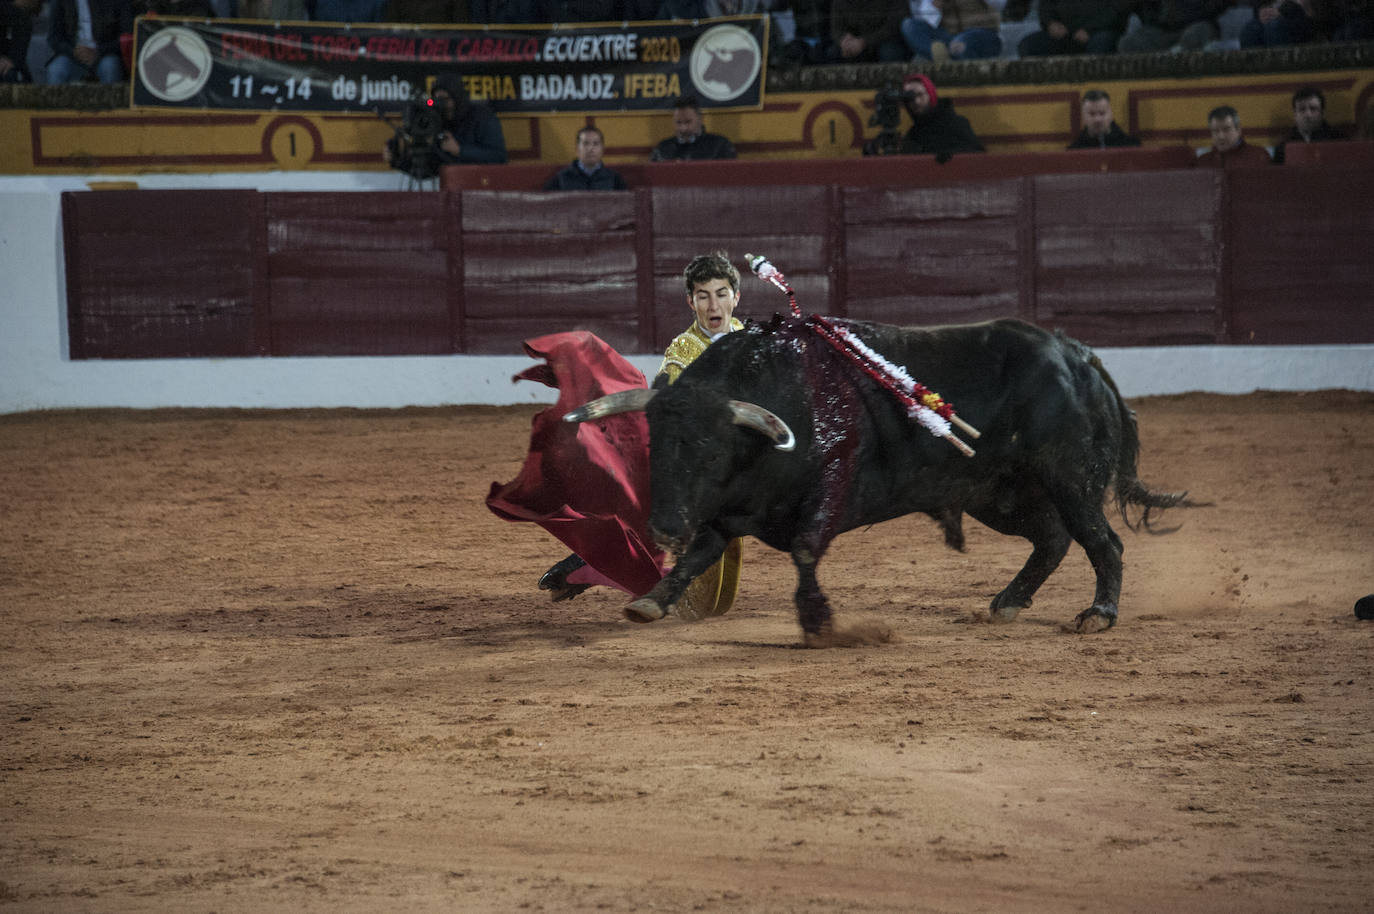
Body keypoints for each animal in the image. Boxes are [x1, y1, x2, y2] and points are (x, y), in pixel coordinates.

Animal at [568, 317, 1192, 637]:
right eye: (655, 442)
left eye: (709, 449)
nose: (664, 526)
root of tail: (1080, 355)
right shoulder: (727, 512)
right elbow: (700, 555)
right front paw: (650, 601)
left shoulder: (828, 495)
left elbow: (804, 549)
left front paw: (818, 621)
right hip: (999, 493)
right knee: (1053, 539)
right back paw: (1007, 602)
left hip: (1070, 477)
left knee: (1102, 541)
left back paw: (1098, 616)